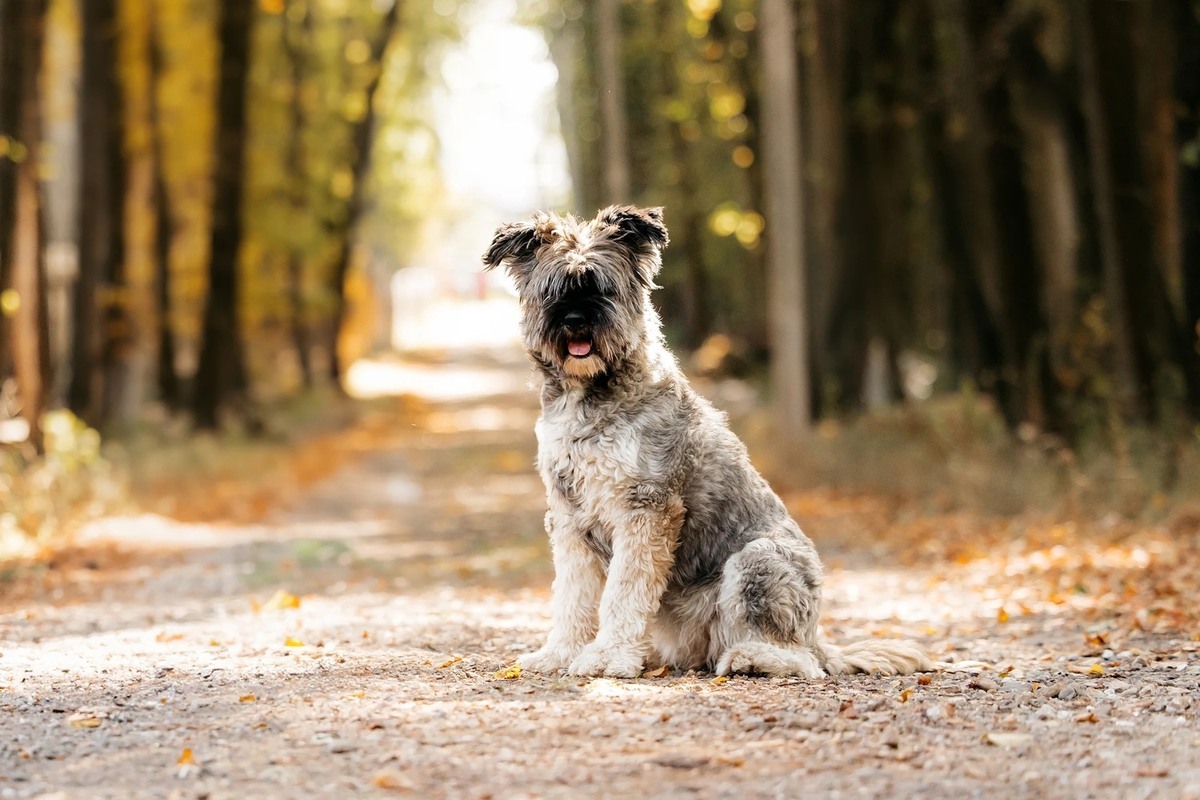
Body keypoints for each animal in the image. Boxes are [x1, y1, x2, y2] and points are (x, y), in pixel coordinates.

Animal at [482, 205, 931, 676]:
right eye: (552, 290)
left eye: (603, 286)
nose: (575, 322)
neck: (590, 398)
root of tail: (818, 637)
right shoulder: (570, 517)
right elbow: (573, 595)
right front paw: (560, 652)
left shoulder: (645, 509)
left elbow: (622, 593)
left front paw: (607, 656)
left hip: (759, 560)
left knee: (798, 657)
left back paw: (750, 657)